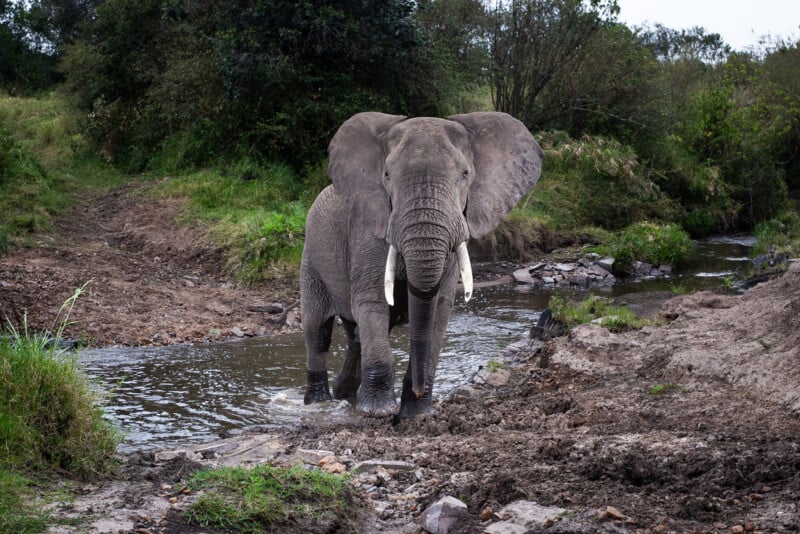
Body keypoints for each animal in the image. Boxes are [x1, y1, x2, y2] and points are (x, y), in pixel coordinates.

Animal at [301, 111, 543, 418]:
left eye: (465, 175)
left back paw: (345, 395)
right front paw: (378, 412)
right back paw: (319, 403)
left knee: (356, 335)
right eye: (387, 175)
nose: (416, 391)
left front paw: (417, 412)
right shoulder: (368, 229)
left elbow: (438, 309)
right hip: (310, 258)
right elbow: (373, 302)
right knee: (318, 331)